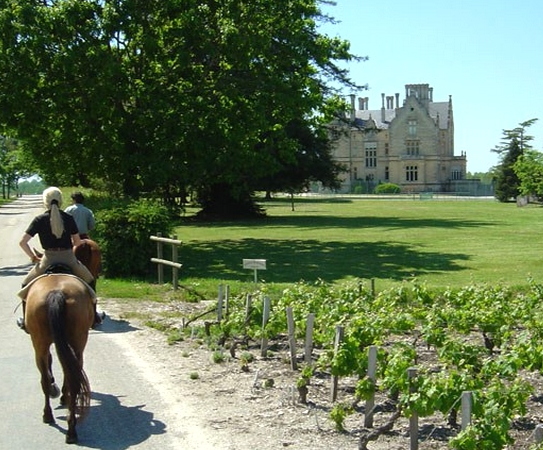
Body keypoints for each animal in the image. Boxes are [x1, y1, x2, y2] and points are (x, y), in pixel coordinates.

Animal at [24, 274, 95, 442]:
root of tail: (57, 292)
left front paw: (57, 391)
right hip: (74, 344)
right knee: (71, 378)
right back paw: (70, 429)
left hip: (41, 344)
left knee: (48, 378)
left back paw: (50, 415)